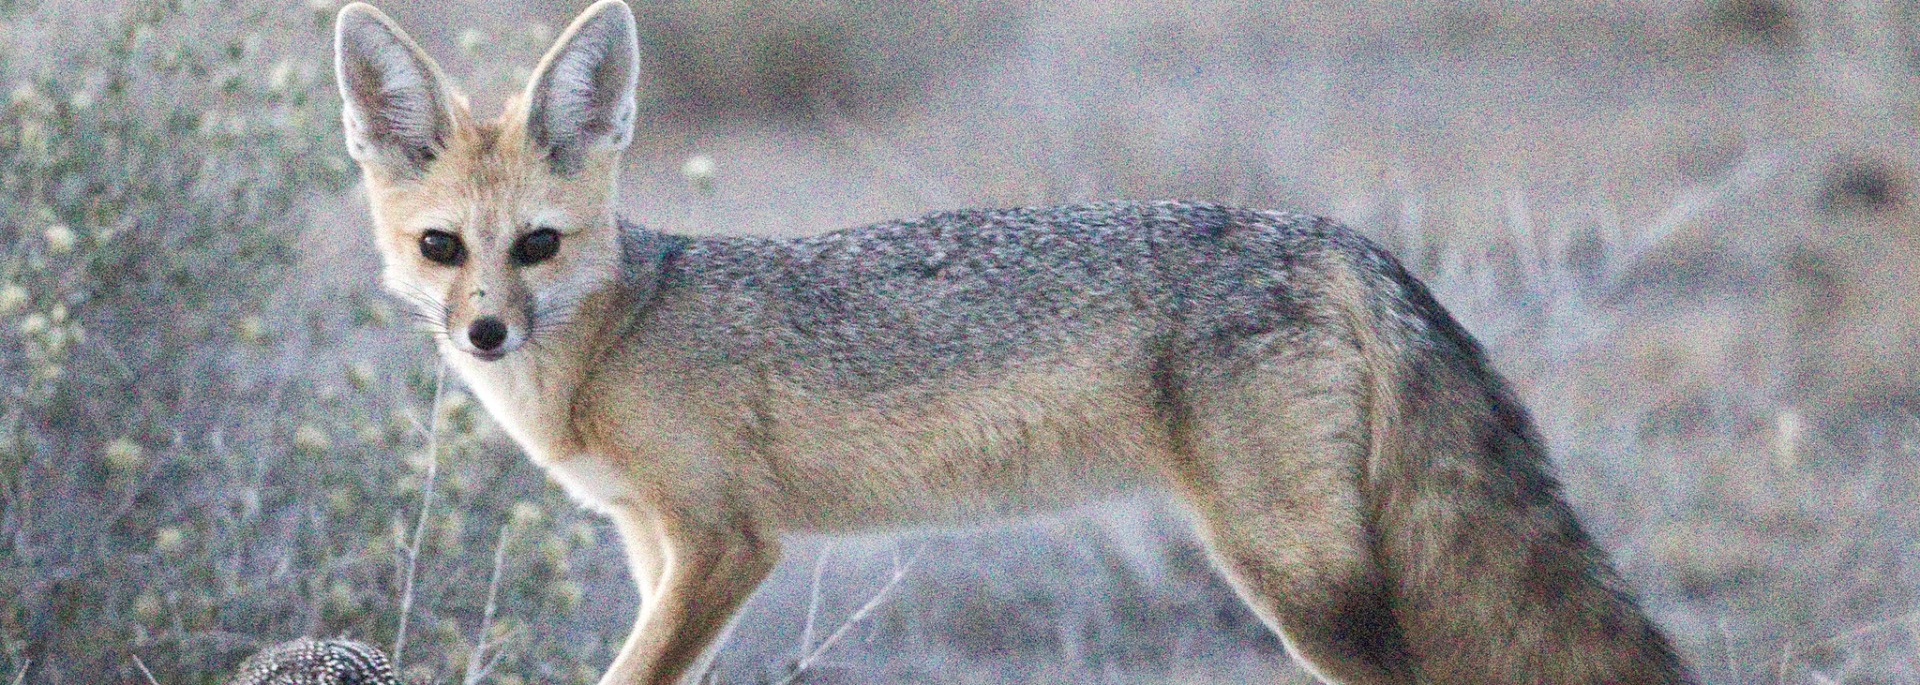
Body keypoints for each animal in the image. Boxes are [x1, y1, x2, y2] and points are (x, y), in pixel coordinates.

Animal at [332, 2, 1694, 684]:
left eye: (539, 245)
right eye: (445, 248)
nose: (486, 330)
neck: (617, 334)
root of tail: (1325, 229)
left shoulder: (726, 544)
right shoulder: (652, 546)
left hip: (1294, 575)